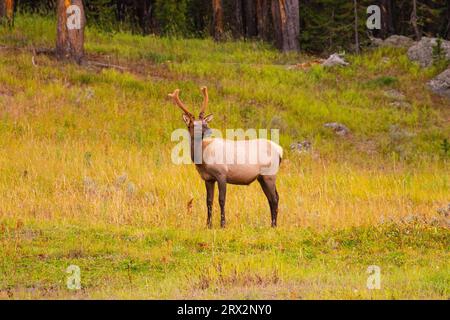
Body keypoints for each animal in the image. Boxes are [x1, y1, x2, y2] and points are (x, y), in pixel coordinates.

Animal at [167, 86, 284, 229]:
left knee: (275, 198)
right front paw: (208, 224)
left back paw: (274, 225)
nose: (209, 130)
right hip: (261, 177)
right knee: (271, 198)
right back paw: (272, 223)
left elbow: (221, 200)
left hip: (270, 175)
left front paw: (223, 224)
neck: (203, 160)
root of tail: (280, 151)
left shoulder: (222, 173)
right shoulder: (208, 178)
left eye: (205, 123)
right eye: (193, 125)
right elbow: (209, 201)